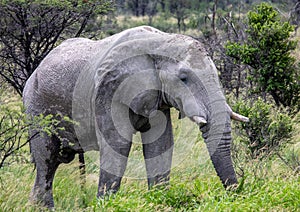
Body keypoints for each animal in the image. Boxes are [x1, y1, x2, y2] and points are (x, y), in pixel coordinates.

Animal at [22, 25, 248, 209]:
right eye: (183, 78)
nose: (235, 194)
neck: (160, 41)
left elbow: (160, 144)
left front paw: (159, 200)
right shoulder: (109, 91)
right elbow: (118, 144)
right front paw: (106, 205)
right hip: (36, 107)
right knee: (46, 159)